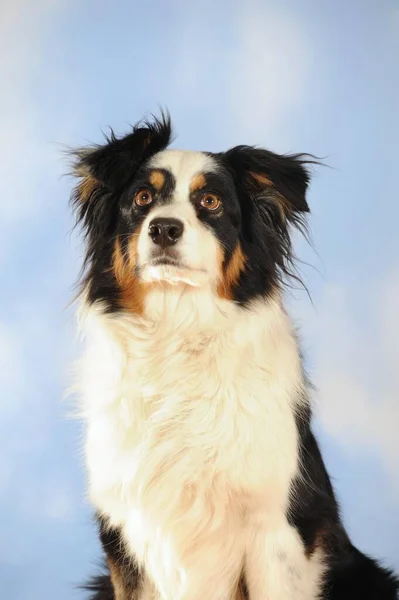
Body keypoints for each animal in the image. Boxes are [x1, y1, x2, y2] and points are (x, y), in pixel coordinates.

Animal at [69, 113, 399, 600]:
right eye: (142, 198)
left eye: (210, 201)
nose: (163, 228)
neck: (179, 334)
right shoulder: (124, 532)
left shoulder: (275, 528)